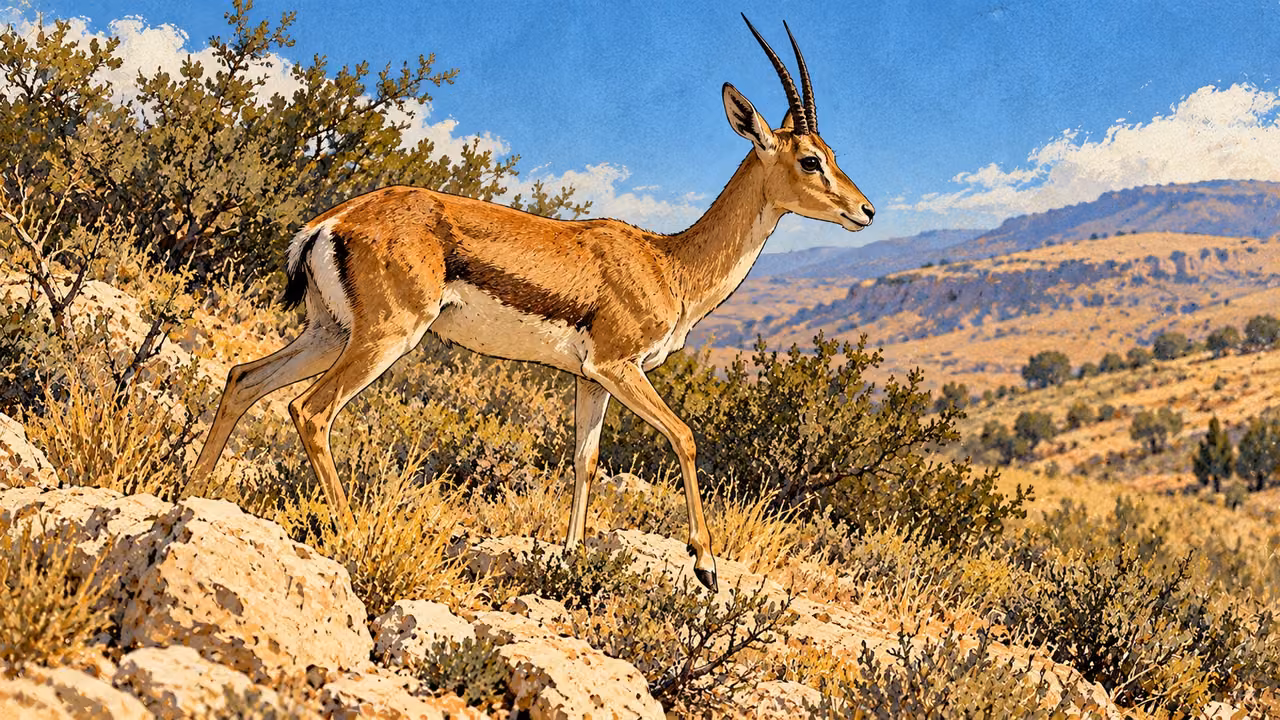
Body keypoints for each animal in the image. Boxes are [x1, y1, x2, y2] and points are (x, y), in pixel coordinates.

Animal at [192, 16, 874, 592]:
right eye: (810, 160)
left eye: (834, 155)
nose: (865, 210)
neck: (669, 263)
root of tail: (331, 221)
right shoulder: (618, 366)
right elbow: (684, 436)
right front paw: (705, 565)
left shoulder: (591, 378)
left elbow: (585, 460)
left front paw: (570, 557)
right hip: (384, 338)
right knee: (310, 410)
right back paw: (352, 533)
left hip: (330, 332)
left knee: (244, 378)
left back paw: (188, 492)